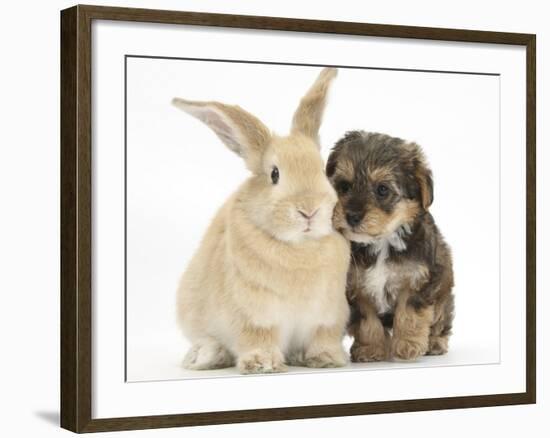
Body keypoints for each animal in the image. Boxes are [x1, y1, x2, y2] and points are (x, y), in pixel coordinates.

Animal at [175, 67, 352, 372]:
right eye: (274, 174)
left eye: (321, 170)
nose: (309, 210)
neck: (300, 247)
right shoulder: (254, 315)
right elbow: (258, 336)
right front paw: (263, 363)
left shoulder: (328, 315)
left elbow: (323, 337)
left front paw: (326, 358)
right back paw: (203, 356)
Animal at [328, 131, 458, 362]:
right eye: (344, 186)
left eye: (382, 190)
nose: (352, 216)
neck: (382, 241)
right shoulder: (355, 288)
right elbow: (367, 320)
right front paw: (370, 349)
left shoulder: (419, 280)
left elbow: (410, 313)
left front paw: (408, 345)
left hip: (443, 294)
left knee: (441, 321)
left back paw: (434, 343)